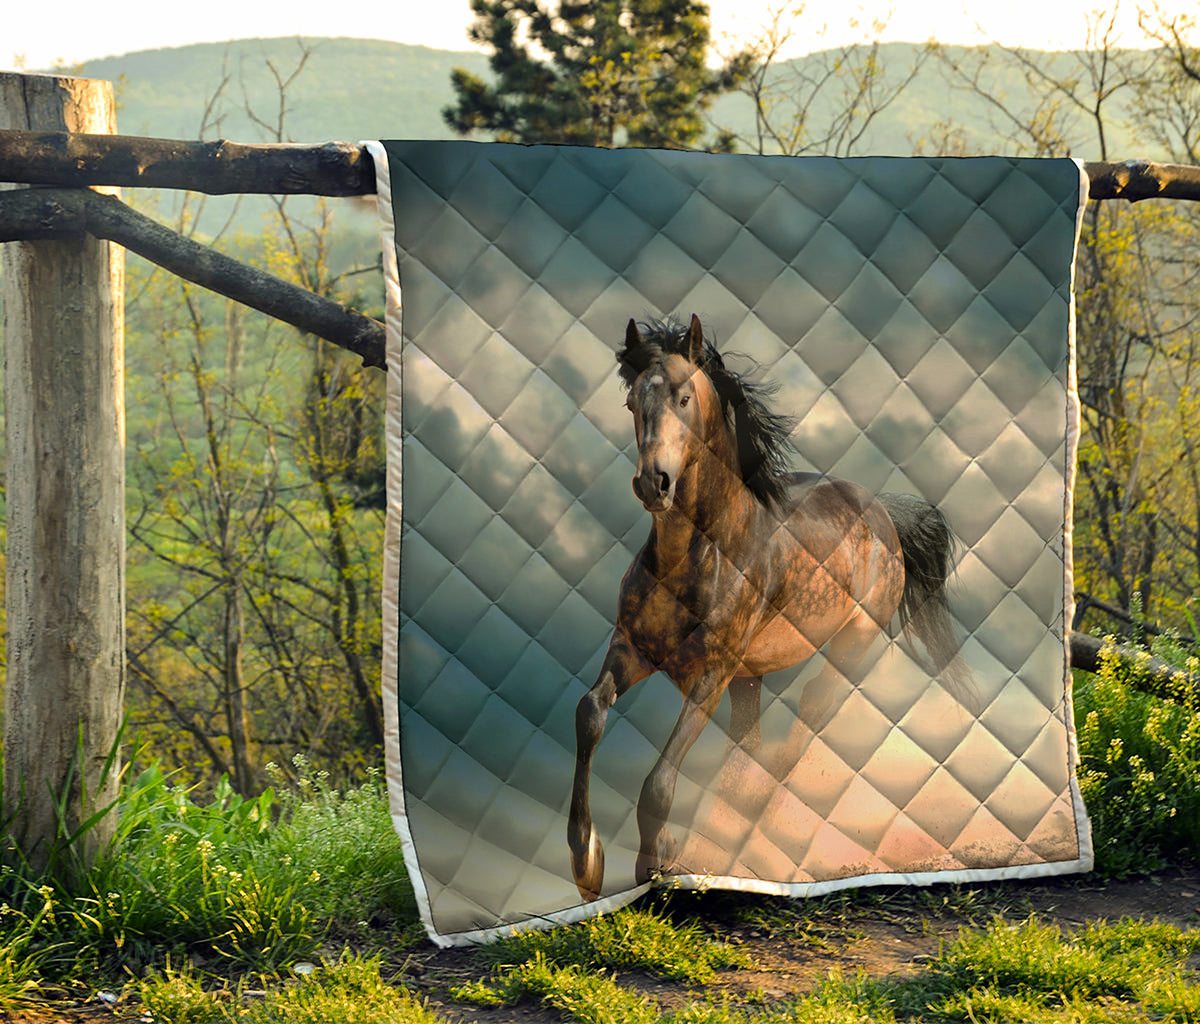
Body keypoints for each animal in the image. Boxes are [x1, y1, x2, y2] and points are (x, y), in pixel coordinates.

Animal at [566, 314, 973, 902]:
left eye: (684, 397)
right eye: (630, 401)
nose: (653, 483)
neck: (704, 553)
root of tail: (882, 511)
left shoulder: (710, 673)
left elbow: (660, 780)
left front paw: (655, 863)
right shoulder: (633, 649)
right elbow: (590, 712)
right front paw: (587, 862)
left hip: (847, 650)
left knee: (800, 732)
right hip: (749, 679)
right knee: (751, 746)